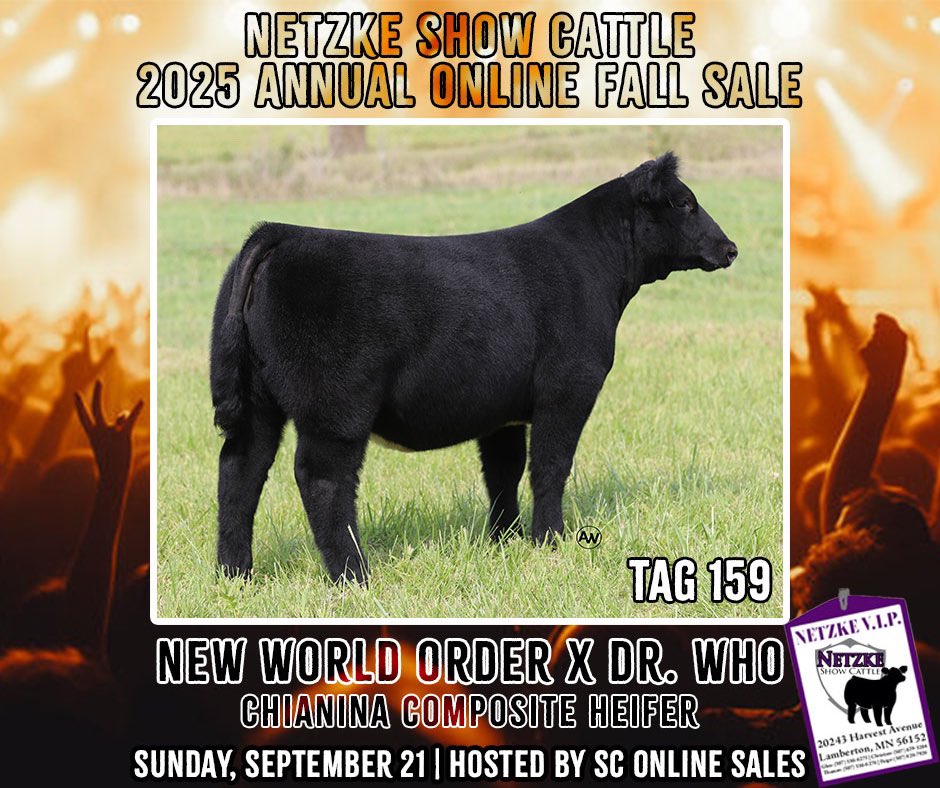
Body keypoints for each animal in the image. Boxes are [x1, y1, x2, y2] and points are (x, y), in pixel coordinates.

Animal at [209, 152, 738, 584]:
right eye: (686, 204)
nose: (730, 247)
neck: (594, 265)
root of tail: (284, 232)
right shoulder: (569, 388)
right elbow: (551, 465)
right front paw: (550, 541)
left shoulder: (503, 410)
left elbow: (503, 471)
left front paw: (506, 539)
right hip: (336, 409)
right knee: (321, 480)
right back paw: (353, 575)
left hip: (258, 403)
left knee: (240, 468)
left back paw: (235, 573)